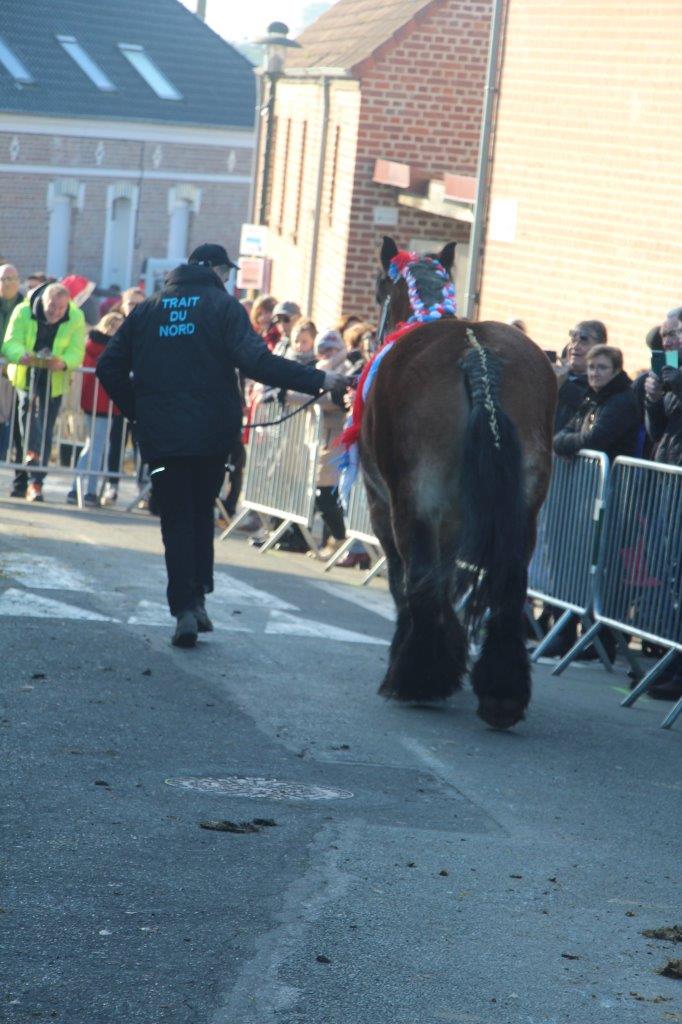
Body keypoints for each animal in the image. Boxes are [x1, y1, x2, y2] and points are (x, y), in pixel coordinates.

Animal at [358, 237, 557, 729]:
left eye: (379, 287)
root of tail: (478, 355)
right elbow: (449, 579)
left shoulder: (384, 506)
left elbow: (407, 580)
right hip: (521, 511)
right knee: (509, 582)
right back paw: (502, 692)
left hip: (414, 502)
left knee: (420, 579)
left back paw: (416, 678)